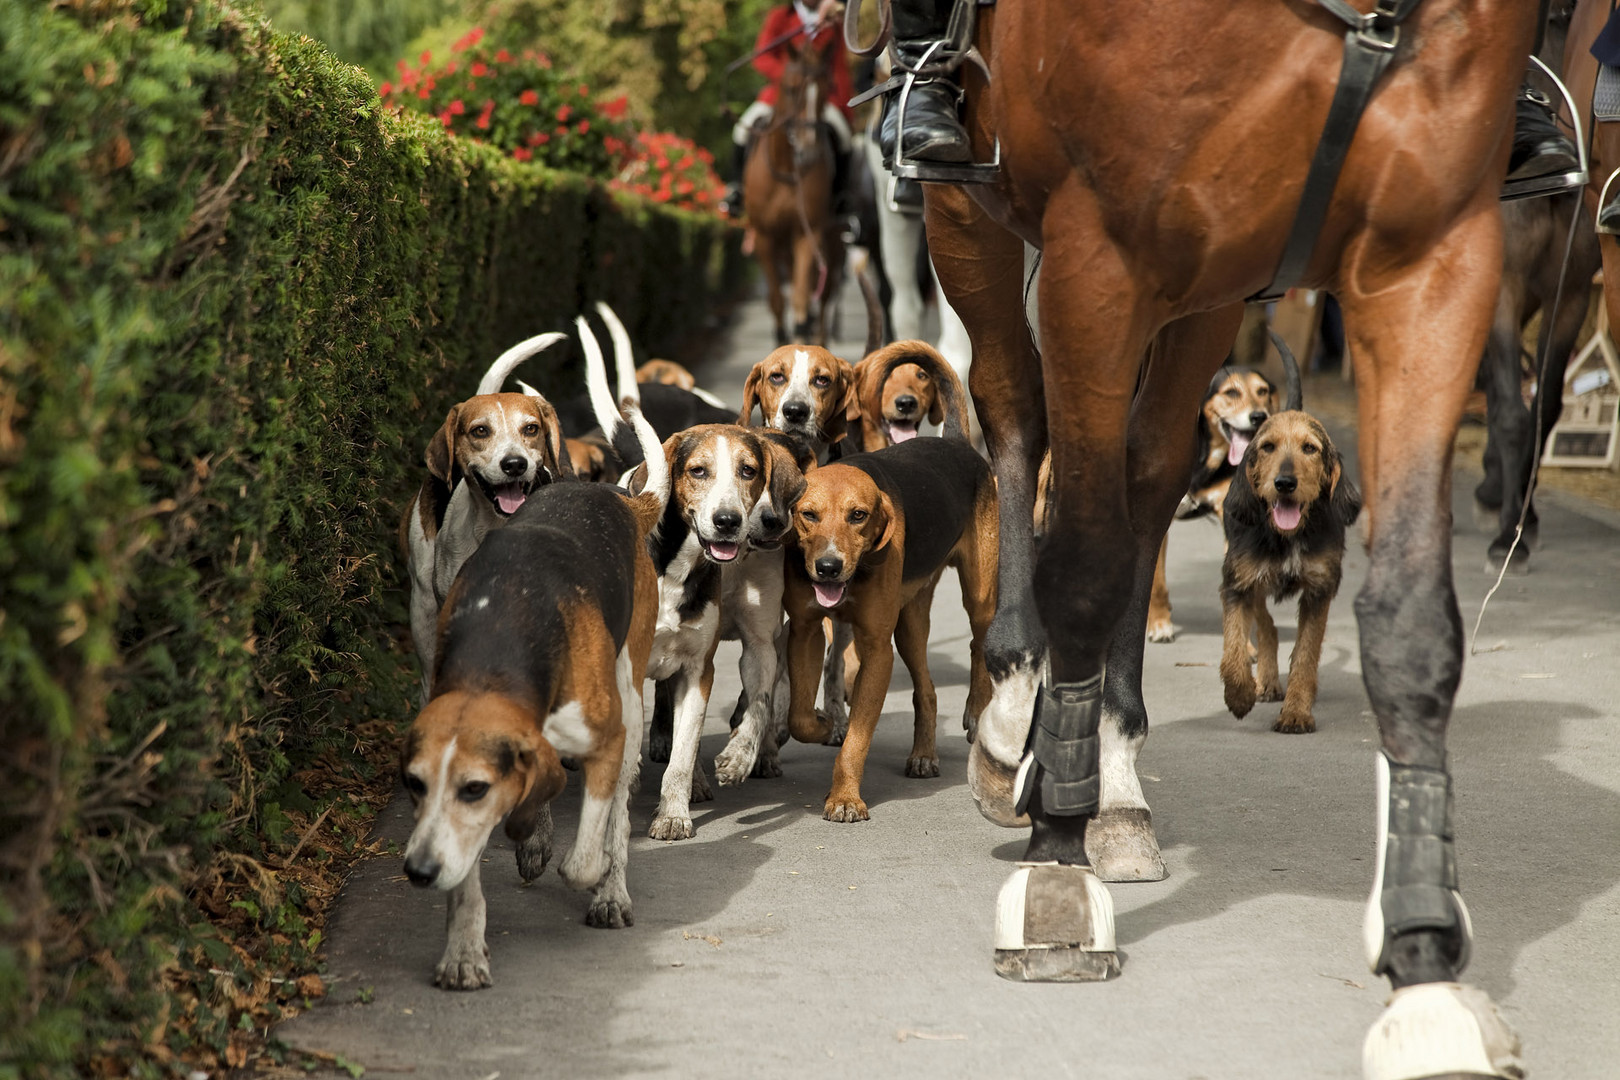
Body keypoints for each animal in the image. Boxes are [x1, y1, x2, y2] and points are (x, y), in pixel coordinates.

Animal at [745, 41, 848, 346]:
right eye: (791, 88)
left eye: (827, 88)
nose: (808, 150)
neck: (787, 168)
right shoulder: (764, 237)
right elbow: (777, 297)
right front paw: (782, 335)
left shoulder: (807, 232)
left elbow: (803, 293)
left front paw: (802, 331)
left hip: (833, 241)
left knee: (825, 294)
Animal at [1218, 411, 1360, 735]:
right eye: (1268, 447)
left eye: (1309, 448)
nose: (1284, 483)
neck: (1287, 537)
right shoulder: (1238, 584)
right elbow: (1233, 648)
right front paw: (1239, 695)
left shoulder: (1319, 591)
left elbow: (1305, 655)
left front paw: (1296, 712)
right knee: (1266, 626)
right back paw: (1266, 680)